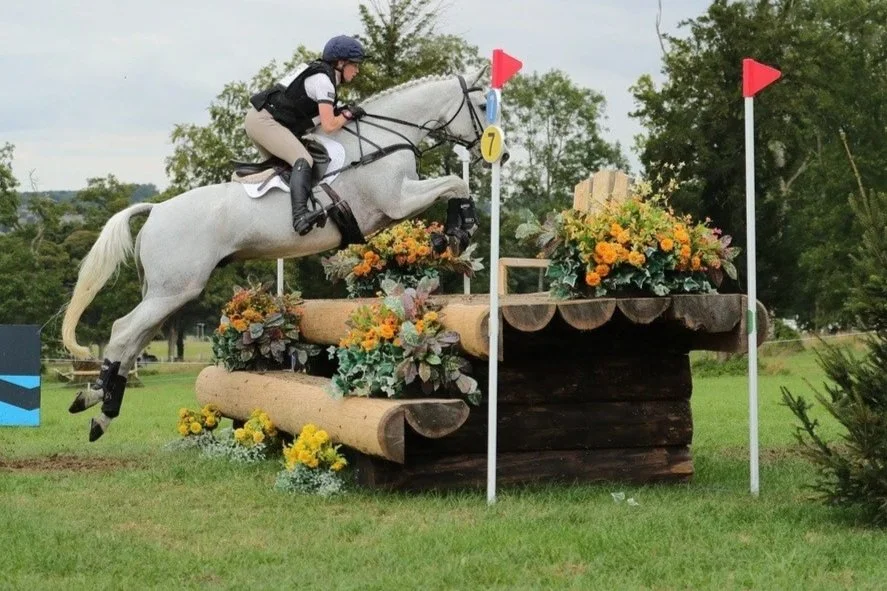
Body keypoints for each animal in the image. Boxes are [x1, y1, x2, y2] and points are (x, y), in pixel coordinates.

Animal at [62, 67, 498, 441]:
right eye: (480, 105)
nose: (501, 155)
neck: (383, 136)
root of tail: (156, 210)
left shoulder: (394, 207)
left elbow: (453, 184)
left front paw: (452, 233)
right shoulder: (397, 200)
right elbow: (455, 182)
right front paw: (457, 232)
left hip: (169, 293)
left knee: (134, 341)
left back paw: (99, 406)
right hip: (174, 290)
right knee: (123, 332)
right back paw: (97, 402)